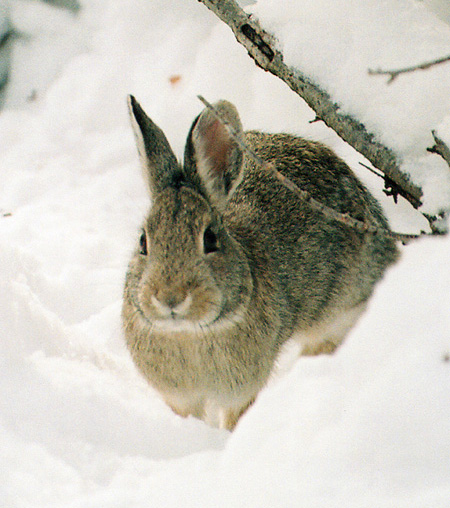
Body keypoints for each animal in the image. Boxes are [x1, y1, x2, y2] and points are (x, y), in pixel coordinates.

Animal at [122, 95, 398, 428]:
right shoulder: (180, 397)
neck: (190, 332)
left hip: (339, 311)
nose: (170, 298)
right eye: (143, 241)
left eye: (210, 239)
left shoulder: (240, 391)